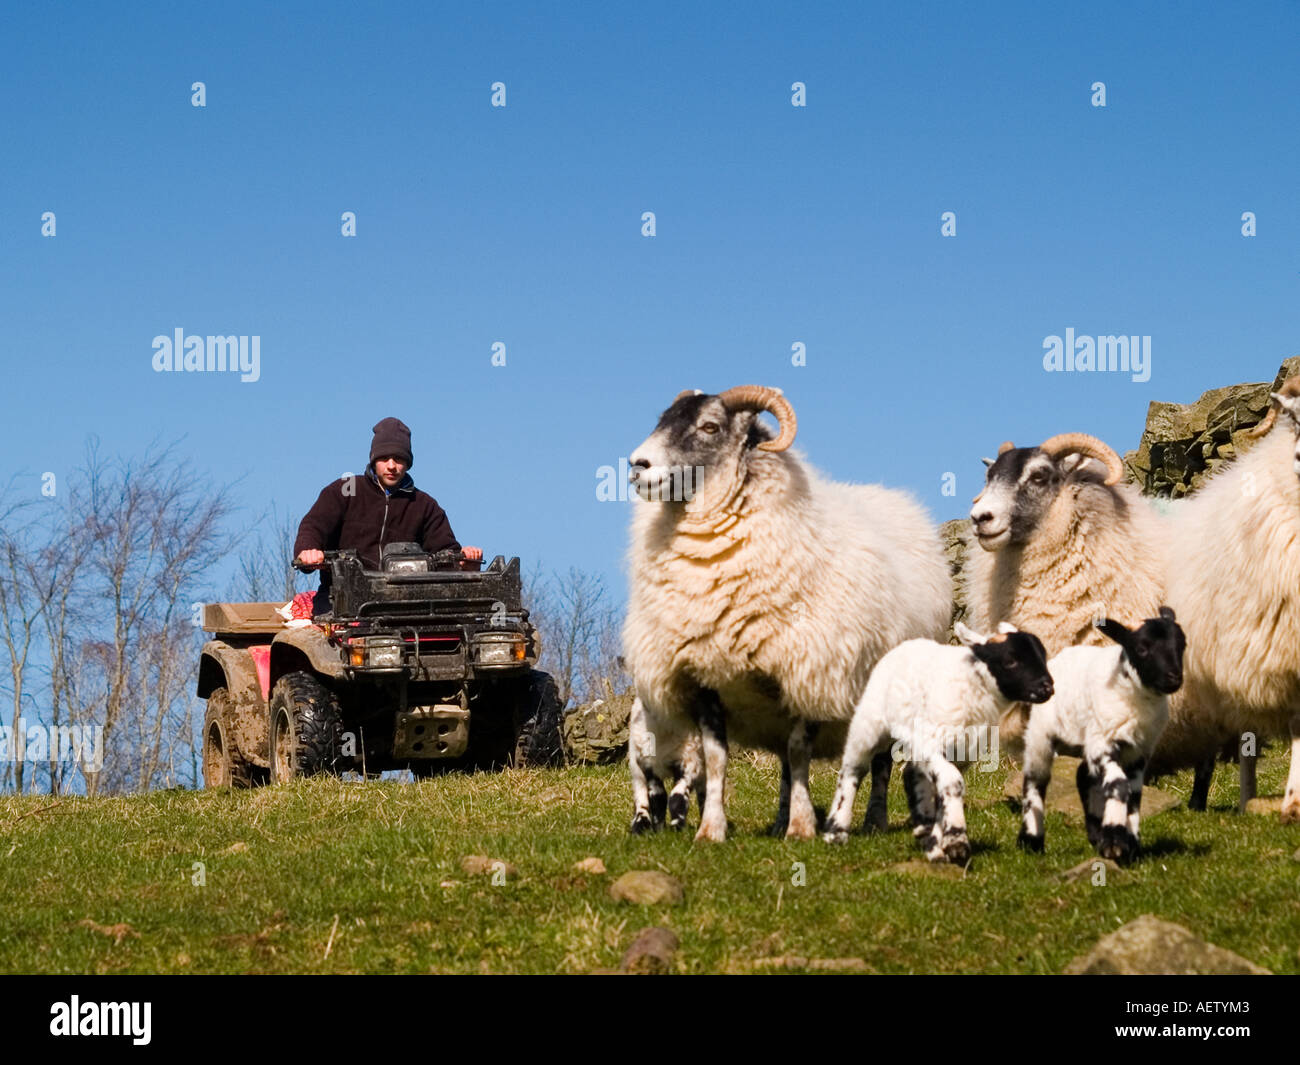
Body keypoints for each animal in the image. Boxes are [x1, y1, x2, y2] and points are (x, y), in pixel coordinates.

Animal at [624, 382, 951, 842]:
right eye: (663, 420)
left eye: (710, 426)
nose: (637, 466)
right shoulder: (704, 677)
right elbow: (718, 759)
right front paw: (712, 830)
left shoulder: (809, 670)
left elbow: (799, 755)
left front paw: (800, 827)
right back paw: (779, 819)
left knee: (882, 762)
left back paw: (874, 820)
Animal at [821, 621, 1055, 863]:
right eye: (1010, 661)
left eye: (1042, 656)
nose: (1047, 688)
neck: (975, 688)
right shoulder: (932, 744)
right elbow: (953, 782)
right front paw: (956, 840)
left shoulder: (962, 753)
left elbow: (944, 789)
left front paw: (940, 843)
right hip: (869, 723)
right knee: (853, 770)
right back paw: (836, 831)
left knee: (907, 771)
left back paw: (920, 827)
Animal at [1013, 608, 1190, 868]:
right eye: (1142, 648)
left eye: (1182, 645)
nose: (1174, 678)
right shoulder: (1104, 743)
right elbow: (1119, 785)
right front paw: (1115, 838)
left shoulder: (1138, 751)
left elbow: (1134, 795)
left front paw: (1127, 843)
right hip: (1041, 734)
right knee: (1035, 781)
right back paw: (1031, 840)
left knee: (1083, 776)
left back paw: (1095, 833)